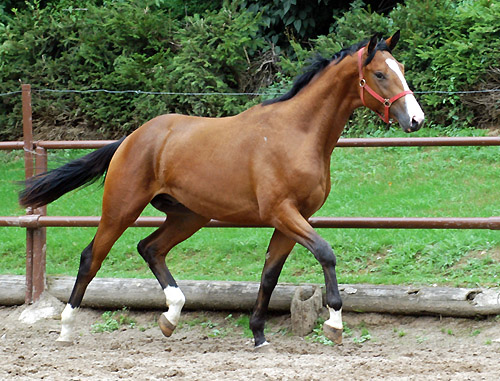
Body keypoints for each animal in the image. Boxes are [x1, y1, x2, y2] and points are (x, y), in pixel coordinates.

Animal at [20, 31, 426, 348]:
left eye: (402, 70)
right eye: (379, 74)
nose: (416, 119)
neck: (298, 133)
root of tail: (132, 138)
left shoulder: (291, 219)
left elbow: (270, 273)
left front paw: (258, 334)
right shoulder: (282, 212)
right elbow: (326, 253)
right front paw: (334, 324)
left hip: (188, 215)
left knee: (150, 248)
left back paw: (171, 316)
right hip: (122, 209)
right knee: (92, 257)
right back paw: (67, 329)